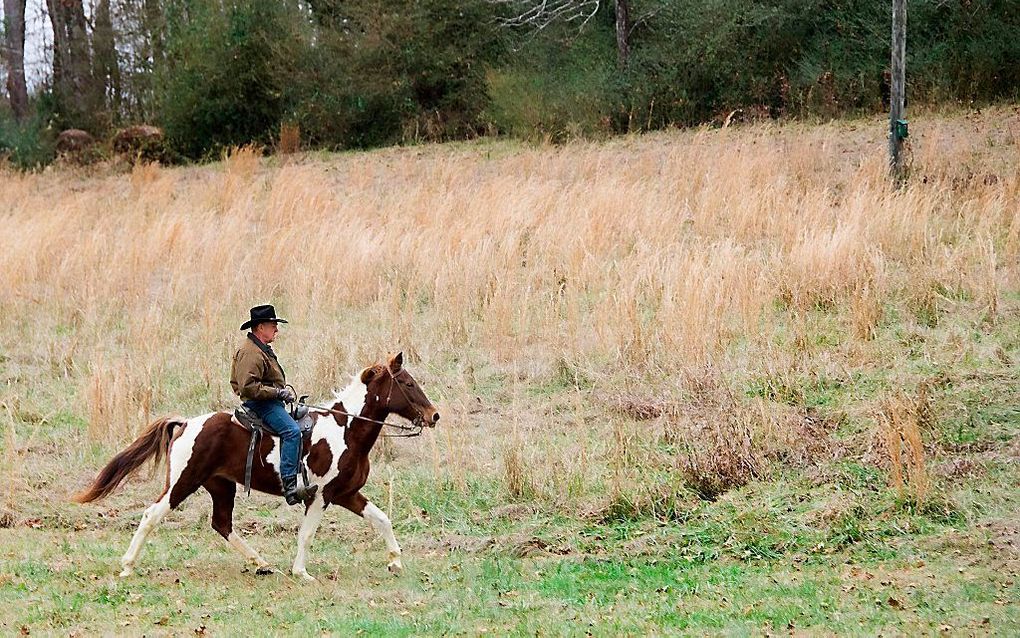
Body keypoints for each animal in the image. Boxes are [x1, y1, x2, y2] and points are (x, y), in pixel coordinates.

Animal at [71, 353, 438, 583]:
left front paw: (395, 561)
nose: (433, 415)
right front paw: (302, 572)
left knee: (222, 524)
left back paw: (261, 563)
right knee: (152, 514)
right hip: (183, 482)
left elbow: (381, 519)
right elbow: (307, 534)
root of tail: (187, 423)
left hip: (221, 486)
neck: (345, 429)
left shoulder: (347, 493)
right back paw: (127, 566)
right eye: (407, 383)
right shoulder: (320, 496)